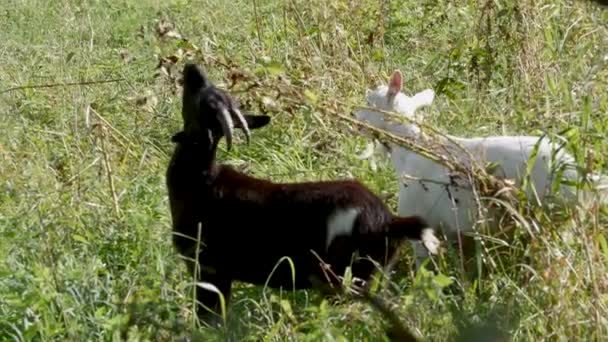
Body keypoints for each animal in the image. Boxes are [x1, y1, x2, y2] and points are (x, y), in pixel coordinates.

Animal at [166, 65, 440, 326]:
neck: (200, 180)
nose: (192, 69)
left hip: (342, 274)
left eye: (206, 98)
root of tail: (389, 221)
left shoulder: (208, 267)